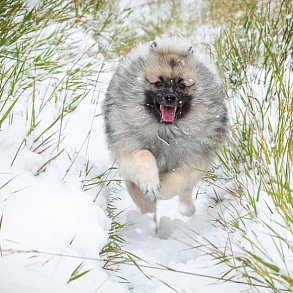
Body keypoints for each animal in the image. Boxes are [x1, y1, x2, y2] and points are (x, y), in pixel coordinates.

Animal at [102, 36, 228, 217]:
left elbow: (177, 179)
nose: (170, 97)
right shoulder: (127, 150)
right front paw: (150, 184)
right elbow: (144, 155)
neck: (165, 131)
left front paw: (162, 190)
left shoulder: (194, 161)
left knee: (185, 193)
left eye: (182, 85)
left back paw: (186, 210)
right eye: (158, 83)